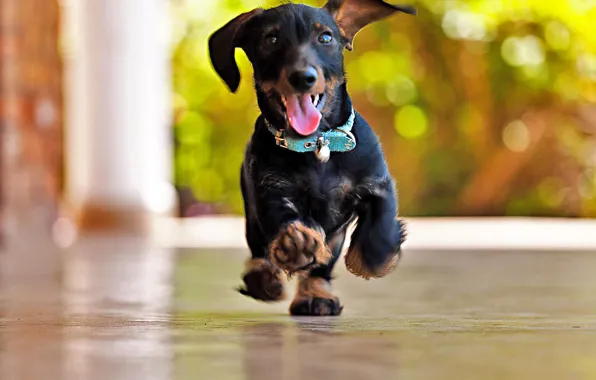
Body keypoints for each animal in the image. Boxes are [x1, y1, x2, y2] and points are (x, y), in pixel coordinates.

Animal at [208, 0, 414, 314]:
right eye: (270, 40)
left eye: (326, 37)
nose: (302, 77)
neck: (317, 143)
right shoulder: (270, 189)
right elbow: (285, 219)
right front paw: (296, 244)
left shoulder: (378, 184)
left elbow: (380, 228)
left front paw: (373, 259)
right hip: (252, 219)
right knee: (259, 250)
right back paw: (264, 278)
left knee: (321, 269)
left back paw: (316, 295)